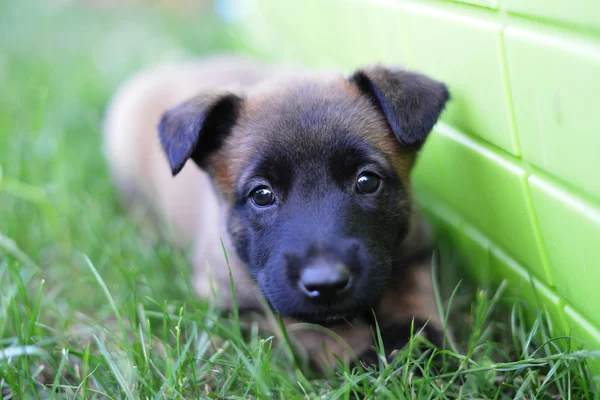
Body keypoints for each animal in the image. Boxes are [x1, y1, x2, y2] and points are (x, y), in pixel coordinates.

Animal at [104, 54, 450, 372]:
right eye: (262, 195)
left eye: (367, 181)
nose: (326, 283)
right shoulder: (240, 297)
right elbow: (309, 326)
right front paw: (360, 354)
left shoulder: (416, 252)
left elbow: (412, 296)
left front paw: (413, 344)